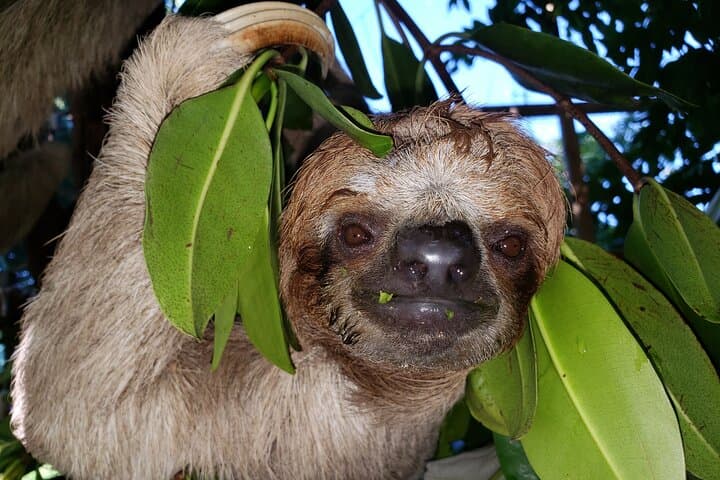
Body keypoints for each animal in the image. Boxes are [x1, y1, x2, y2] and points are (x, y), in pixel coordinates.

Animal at [9, 4, 566, 479]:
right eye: (355, 233)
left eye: (510, 245)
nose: (437, 257)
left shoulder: (280, 410)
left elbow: (79, 408)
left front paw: (201, 53)